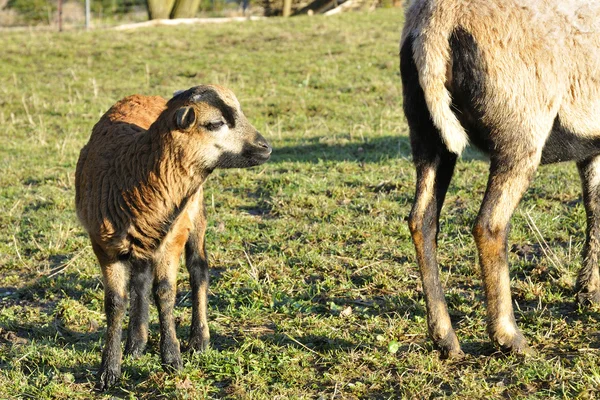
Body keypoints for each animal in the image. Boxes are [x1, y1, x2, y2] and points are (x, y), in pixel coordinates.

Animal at [75, 83, 272, 388]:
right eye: (214, 124)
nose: (266, 148)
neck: (135, 176)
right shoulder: (103, 246)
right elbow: (115, 302)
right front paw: (108, 371)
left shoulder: (173, 238)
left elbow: (165, 292)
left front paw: (171, 359)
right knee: (141, 280)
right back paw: (136, 344)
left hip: (195, 214)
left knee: (198, 270)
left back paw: (198, 340)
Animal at [400, 0, 600, 358]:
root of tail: (435, 22)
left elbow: (594, 205)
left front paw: (588, 290)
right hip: (520, 127)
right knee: (489, 225)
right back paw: (510, 338)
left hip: (426, 129)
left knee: (421, 220)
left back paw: (445, 339)